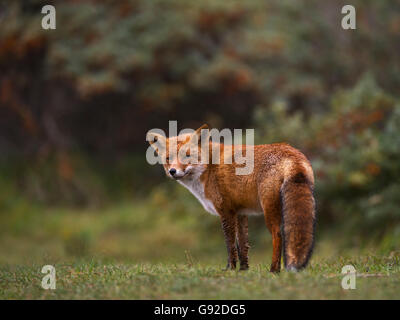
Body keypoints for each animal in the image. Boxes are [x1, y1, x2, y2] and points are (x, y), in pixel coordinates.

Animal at [147, 124, 316, 272]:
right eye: (168, 158)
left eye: (187, 156)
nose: (172, 171)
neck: (208, 167)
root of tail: (292, 152)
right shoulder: (241, 212)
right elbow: (243, 245)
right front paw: (243, 270)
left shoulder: (226, 211)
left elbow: (230, 245)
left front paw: (231, 269)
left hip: (269, 210)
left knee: (278, 236)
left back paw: (274, 270)